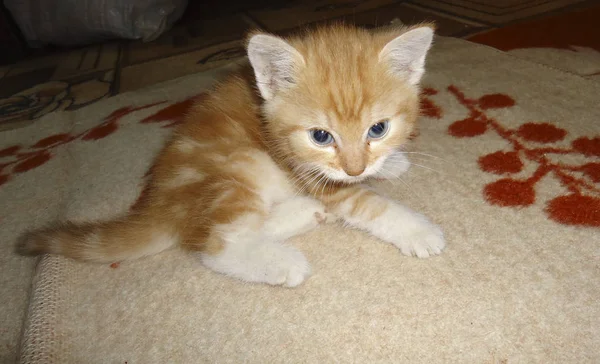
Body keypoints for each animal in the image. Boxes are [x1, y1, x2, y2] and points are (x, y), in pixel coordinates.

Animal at [17, 24, 446, 288]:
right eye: (321, 136)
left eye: (378, 129)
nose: (356, 168)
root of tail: (160, 202)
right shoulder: (303, 169)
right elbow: (365, 203)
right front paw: (416, 230)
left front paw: (391, 162)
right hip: (238, 165)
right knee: (215, 244)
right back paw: (282, 260)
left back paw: (301, 213)